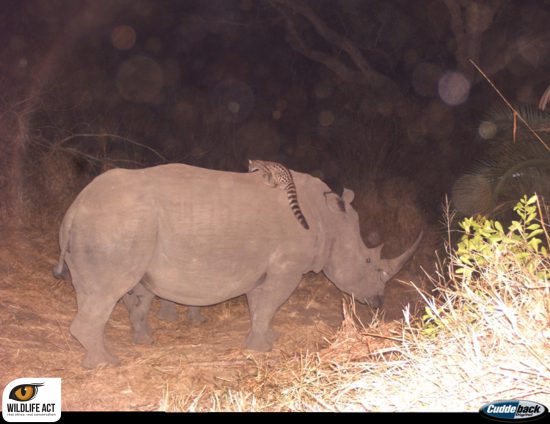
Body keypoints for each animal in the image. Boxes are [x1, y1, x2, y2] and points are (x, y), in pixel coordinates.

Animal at [54, 162, 422, 368]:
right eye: (368, 262)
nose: (379, 302)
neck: (328, 219)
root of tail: (76, 205)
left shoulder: (263, 267)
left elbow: (261, 305)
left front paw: (266, 338)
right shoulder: (287, 266)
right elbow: (270, 303)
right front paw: (260, 348)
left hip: (110, 224)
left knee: (117, 290)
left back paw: (139, 343)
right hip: (116, 223)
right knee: (108, 291)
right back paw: (106, 364)